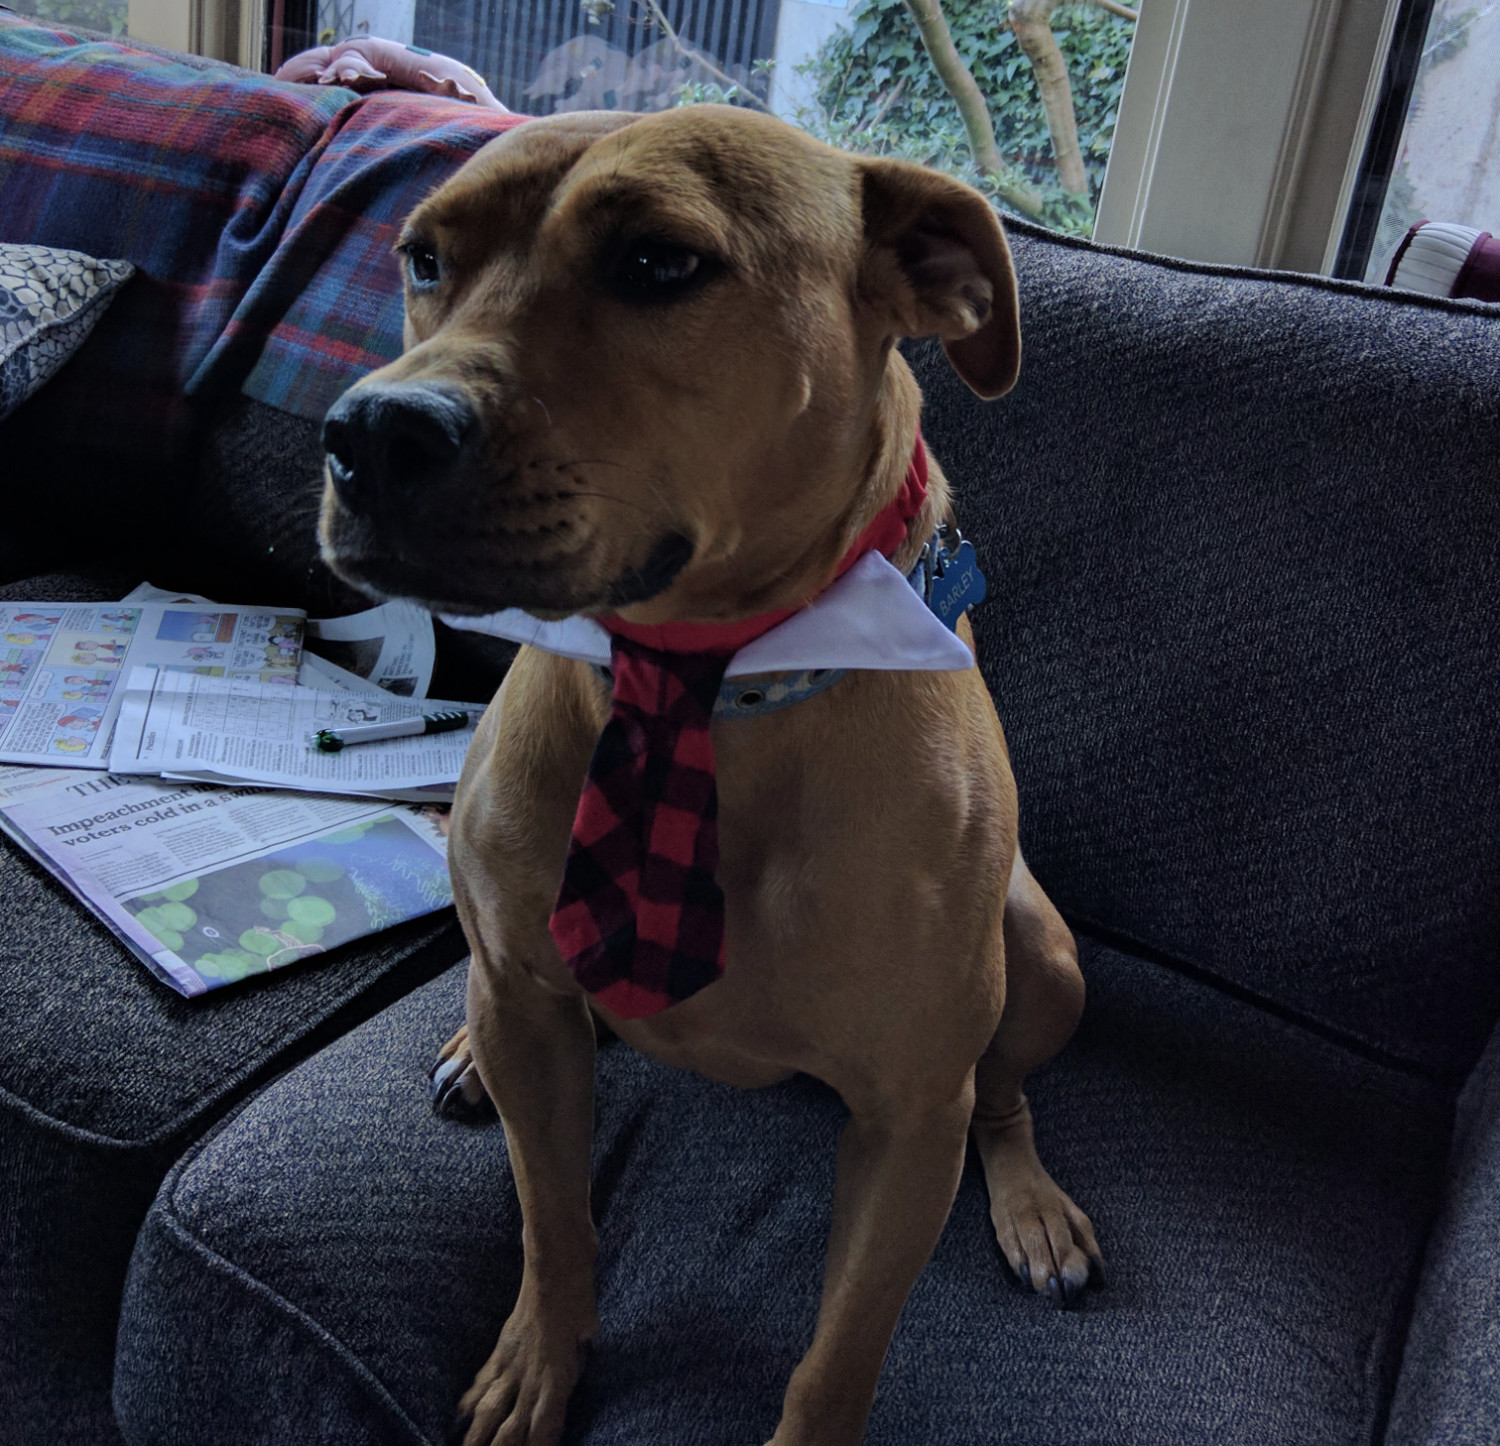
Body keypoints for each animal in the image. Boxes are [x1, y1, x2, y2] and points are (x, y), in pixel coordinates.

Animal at [322, 104, 1104, 1446]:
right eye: (425, 258)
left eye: (658, 263)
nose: (369, 434)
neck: (695, 678)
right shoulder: (532, 1016)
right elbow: (554, 1226)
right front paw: (539, 1363)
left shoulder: (909, 1122)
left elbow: (837, 1356)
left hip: (1044, 964)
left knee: (1005, 1093)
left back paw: (1032, 1202)